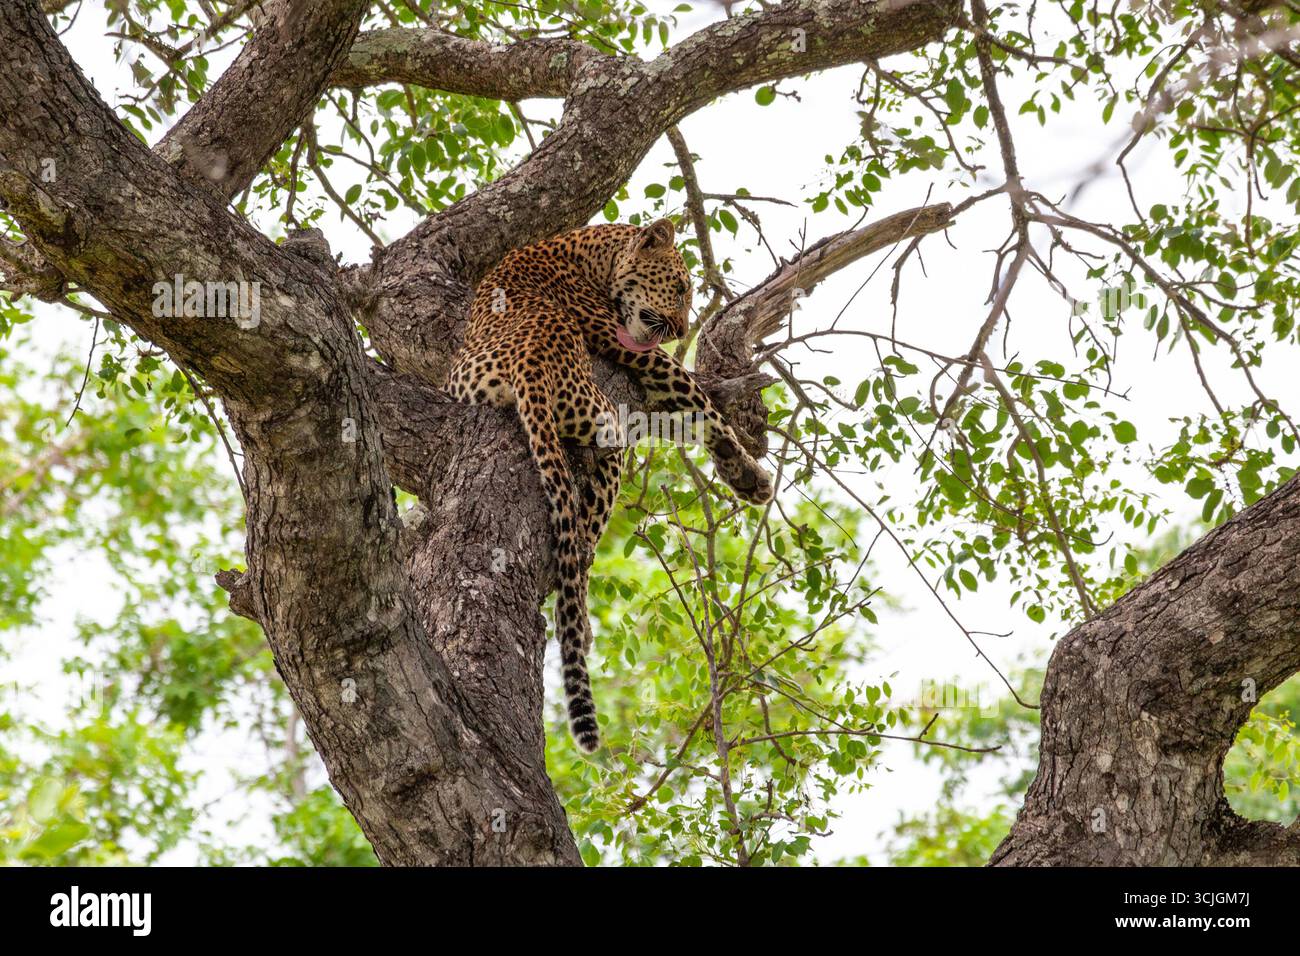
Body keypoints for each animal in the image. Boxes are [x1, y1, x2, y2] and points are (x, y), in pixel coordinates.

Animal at [447, 218, 774, 753]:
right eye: (679, 288)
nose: (682, 330)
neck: (590, 252)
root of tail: (529, 363)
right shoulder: (631, 347)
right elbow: (704, 406)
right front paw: (748, 477)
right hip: (609, 425)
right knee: (588, 525)